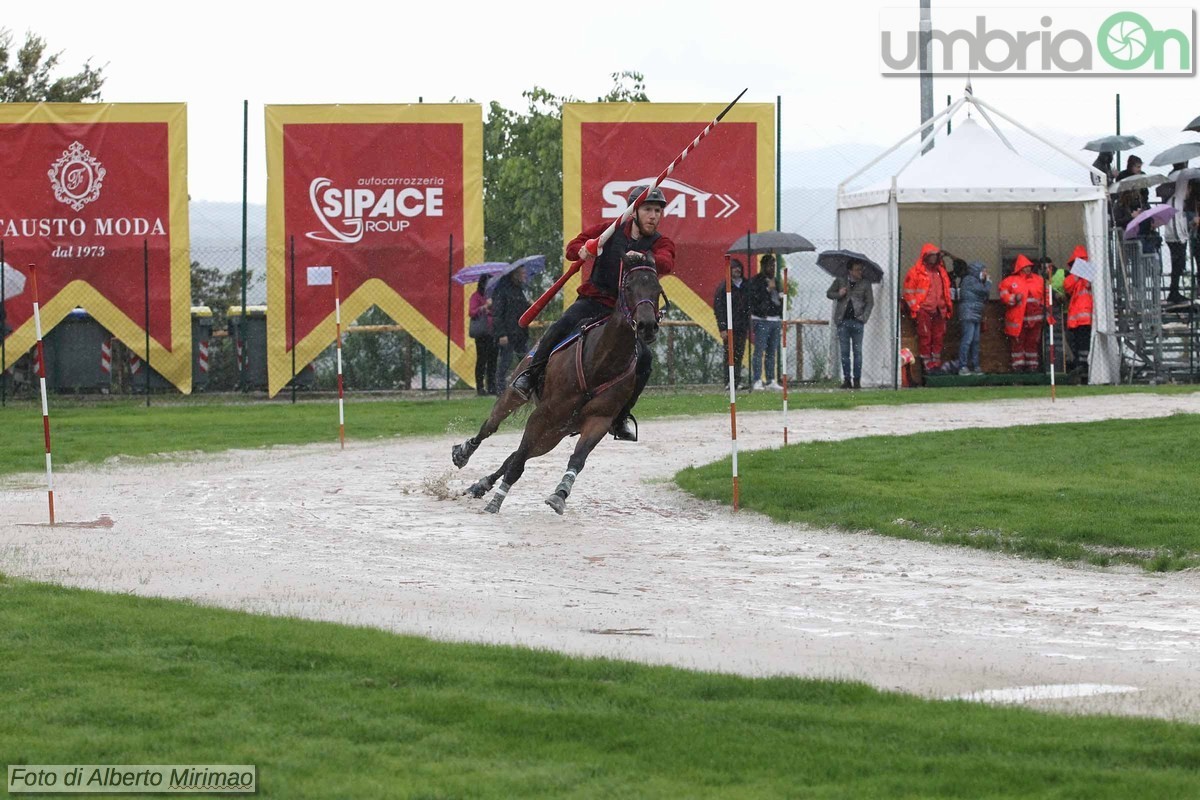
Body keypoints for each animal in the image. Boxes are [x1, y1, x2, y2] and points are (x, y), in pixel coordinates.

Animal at [451, 262, 667, 513]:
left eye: (657, 289)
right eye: (629, 287)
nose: (647, 326)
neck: (601, 362)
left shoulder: (599, 420)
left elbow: (577, 458)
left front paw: (560, 493)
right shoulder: (543, 414)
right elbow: (517, 463)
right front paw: (495, 503)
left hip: (555, 433)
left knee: (515, 454)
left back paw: (481, 485)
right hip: (520, 400)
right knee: (491, 427)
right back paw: (464, 453)